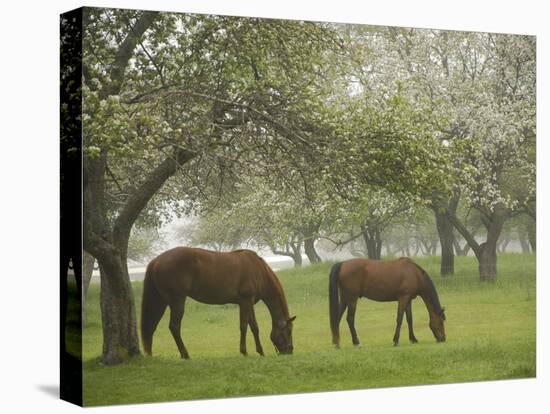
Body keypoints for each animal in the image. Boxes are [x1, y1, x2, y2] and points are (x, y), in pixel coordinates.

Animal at [142, 246, 298, 360]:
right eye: (289, 331)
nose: (289, 351)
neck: (259, 270)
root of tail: (156, 260)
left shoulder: (249, 302)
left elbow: (254, 327)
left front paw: (260, 351)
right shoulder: (244, 301)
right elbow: (243, 326)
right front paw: (244, 352)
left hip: (161, 302)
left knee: (151, 326)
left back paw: (151, 354)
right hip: (177, 301)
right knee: (174, 327)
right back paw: (185, 355)